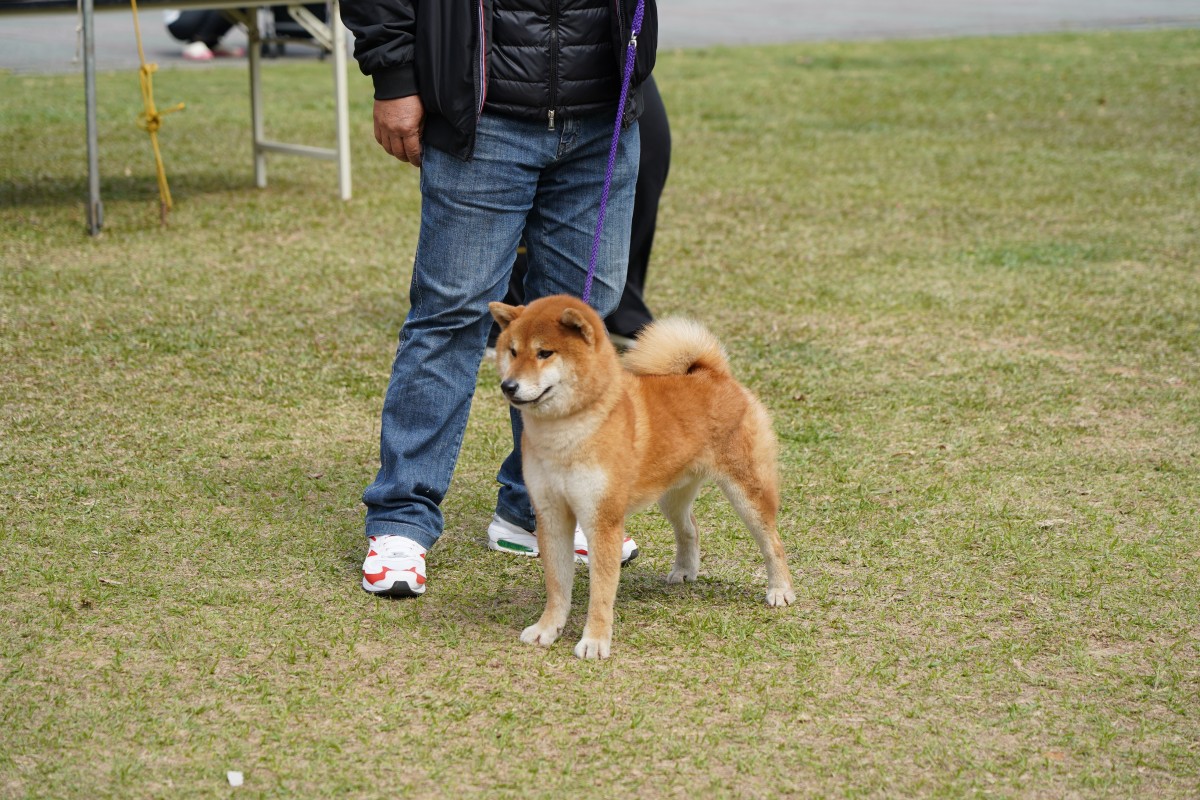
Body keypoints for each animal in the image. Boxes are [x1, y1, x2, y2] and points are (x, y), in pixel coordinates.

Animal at [489, 293, 796, 657]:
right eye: (512, 351)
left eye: (544, 353)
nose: (508, 386)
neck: (567, 433)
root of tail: (714, 374)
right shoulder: (551, 514)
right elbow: (557, 585)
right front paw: (547, 629)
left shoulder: (602, 520)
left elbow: (601, 594)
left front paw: (594, 641)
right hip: (671, 494)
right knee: (690, 528)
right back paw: (684, 571)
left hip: (746, 492)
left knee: (772, 542)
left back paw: (780, 590)